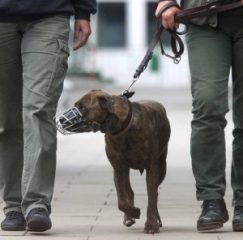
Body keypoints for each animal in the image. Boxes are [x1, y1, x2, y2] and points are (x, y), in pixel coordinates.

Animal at [70, 89, 170, 232]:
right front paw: (134, 212)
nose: (60, 119)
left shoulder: (152, 167)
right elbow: (121, 201)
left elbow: (151, 196)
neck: (122, 128)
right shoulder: (118, 168)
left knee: (155, 192)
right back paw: (129, 216)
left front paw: (151, 224)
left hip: (161, 167)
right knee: (129, 191)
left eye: (82, 107)